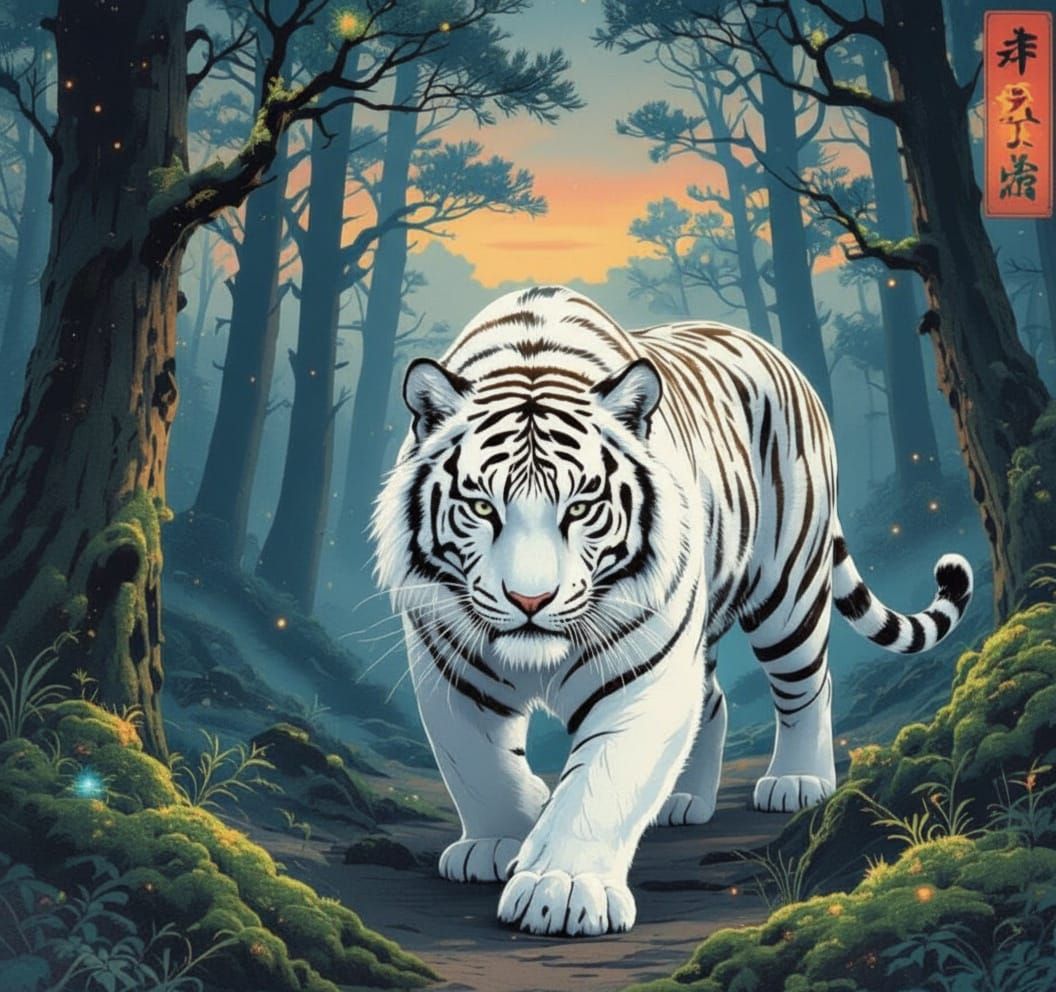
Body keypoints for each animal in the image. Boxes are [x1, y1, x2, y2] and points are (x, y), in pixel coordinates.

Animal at [371, 285, 972, 937]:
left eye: (580, 506)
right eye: (482, 506)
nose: (530, 601)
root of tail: (774, 354)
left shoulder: (641, 671)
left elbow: (600, 781)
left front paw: (563, 889)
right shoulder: (448, 664)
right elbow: (479, 765)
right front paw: (499, 841)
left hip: (786, 592)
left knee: (808, 684)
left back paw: (798, 780)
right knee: (713, 698)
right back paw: (682, 801)